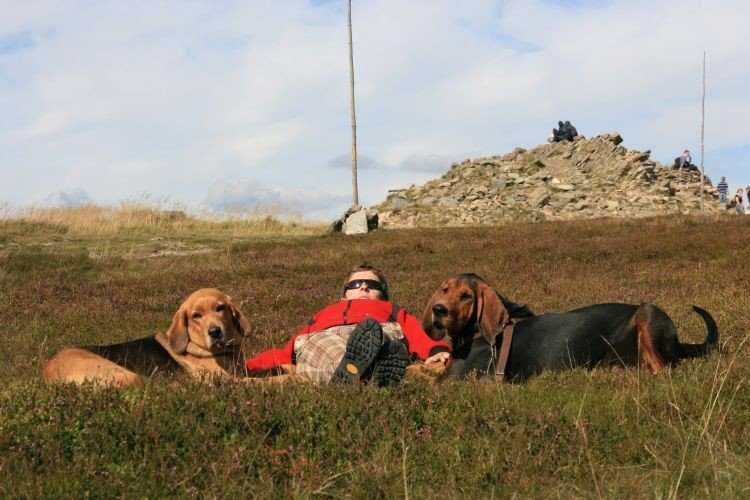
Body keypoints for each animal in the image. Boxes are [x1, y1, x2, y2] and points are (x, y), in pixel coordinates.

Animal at [45, 290, 254, 386]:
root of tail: (48, 373)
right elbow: (259, 380)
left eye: (220, 308)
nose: (215, 332)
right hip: (129, 375)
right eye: (196, 315)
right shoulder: (230, 380)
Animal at [424, 276, 724, 380]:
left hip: (648, 311)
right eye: (445, 289)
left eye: (466, 296)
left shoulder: (453, 382)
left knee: (664, 370)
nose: (438, 310)